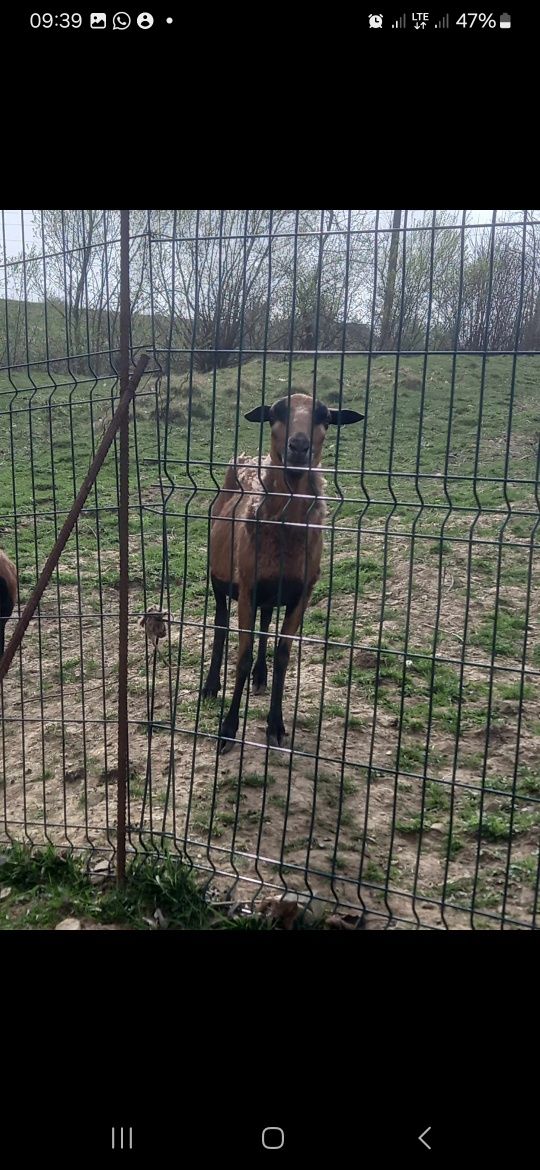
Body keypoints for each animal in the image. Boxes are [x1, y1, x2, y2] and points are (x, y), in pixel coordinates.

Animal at [201, 393, 362, 753]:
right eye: (276, 414)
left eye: (325, 417)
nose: (299, 446)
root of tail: (247, 459)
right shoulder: (247, 588)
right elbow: (243, 655)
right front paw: (228, 729)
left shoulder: (301, 594)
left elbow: (283, 657)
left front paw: (276, 726)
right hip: (220, 581)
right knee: (220, 626)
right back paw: (211, 686)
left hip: (268, 593)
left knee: (264, 625)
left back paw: (260, 678)